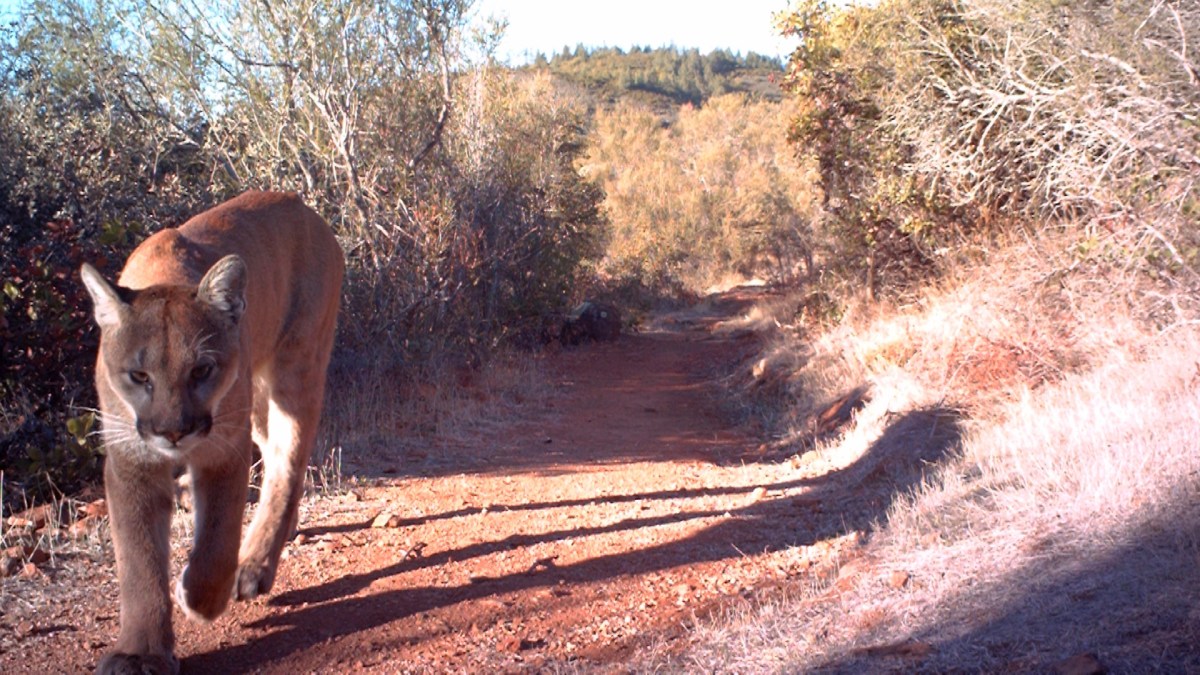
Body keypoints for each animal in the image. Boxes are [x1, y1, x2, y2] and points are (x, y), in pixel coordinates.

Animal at [81, 192, 343, 667]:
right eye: (139, 376)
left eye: (201, 370)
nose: (173, 432)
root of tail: (299, 203)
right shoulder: (131, 460)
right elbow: (138, 558)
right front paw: (139, 653)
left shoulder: (222, 449)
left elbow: (217, 540)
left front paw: (201, 599)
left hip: (295, 369)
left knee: (286, 464)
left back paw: (254, 566)